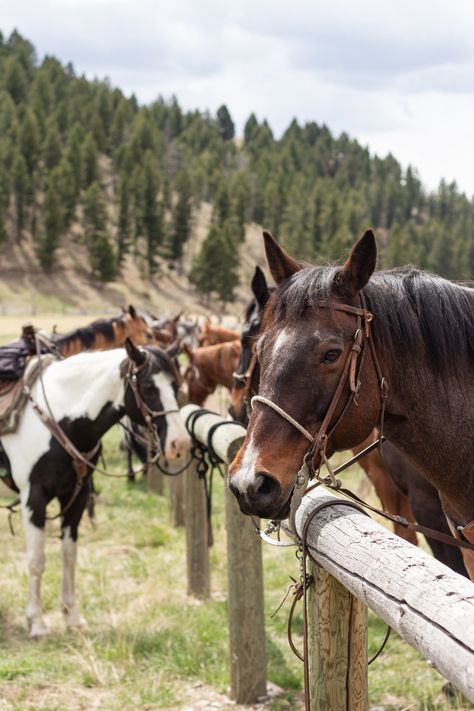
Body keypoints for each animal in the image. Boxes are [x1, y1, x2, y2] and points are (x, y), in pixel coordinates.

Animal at [0, 342, 189, 636]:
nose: (179, 444)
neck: (60, 419)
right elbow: (36, 560)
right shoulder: (34, 498)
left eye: (175, 385)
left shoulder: (76, 496)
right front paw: (37, 622)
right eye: (148, 387)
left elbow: (69, 555)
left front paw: (71, 616)